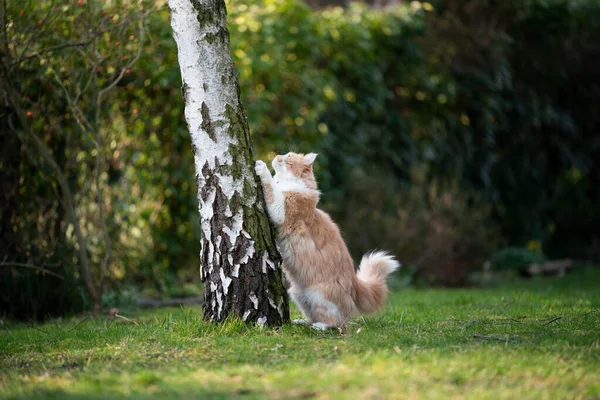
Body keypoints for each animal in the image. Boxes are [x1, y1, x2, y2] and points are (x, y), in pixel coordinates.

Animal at [253, 152, 398, 330]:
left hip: (319, 295)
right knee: (316, 315)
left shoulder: (282, 210)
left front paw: (261, 167)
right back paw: (303, 322)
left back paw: (320, 327)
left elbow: (270, 186)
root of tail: (354, 283)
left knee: (338, 322)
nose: (277, 155)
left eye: (288, 156)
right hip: (298, 294)